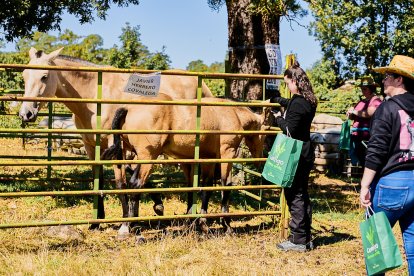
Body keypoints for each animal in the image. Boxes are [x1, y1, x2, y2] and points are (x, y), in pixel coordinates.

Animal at [17, 47, 213, 227]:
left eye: (44, 76)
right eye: (25, 75)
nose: (26, 113)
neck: (94, 97)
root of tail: (202, 86)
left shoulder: (117, 146)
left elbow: (121, 182)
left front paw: (127, 219)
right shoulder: (91, 146)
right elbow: (100, 181)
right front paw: (97, 221)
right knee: (190, 177)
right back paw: (190, 215)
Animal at [102, 96, 272, 238]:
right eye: (265, 133)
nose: (260, 159)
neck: (232, 114)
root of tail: (128, 108)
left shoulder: (207, 159)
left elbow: (205, 188)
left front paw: (199, 223)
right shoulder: (227, 153)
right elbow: (226, 185)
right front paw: (226, 226)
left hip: (125, 153)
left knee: (124, 184)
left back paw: (129, 223)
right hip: (146, 157)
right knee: (136, 184)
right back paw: (132, 228)